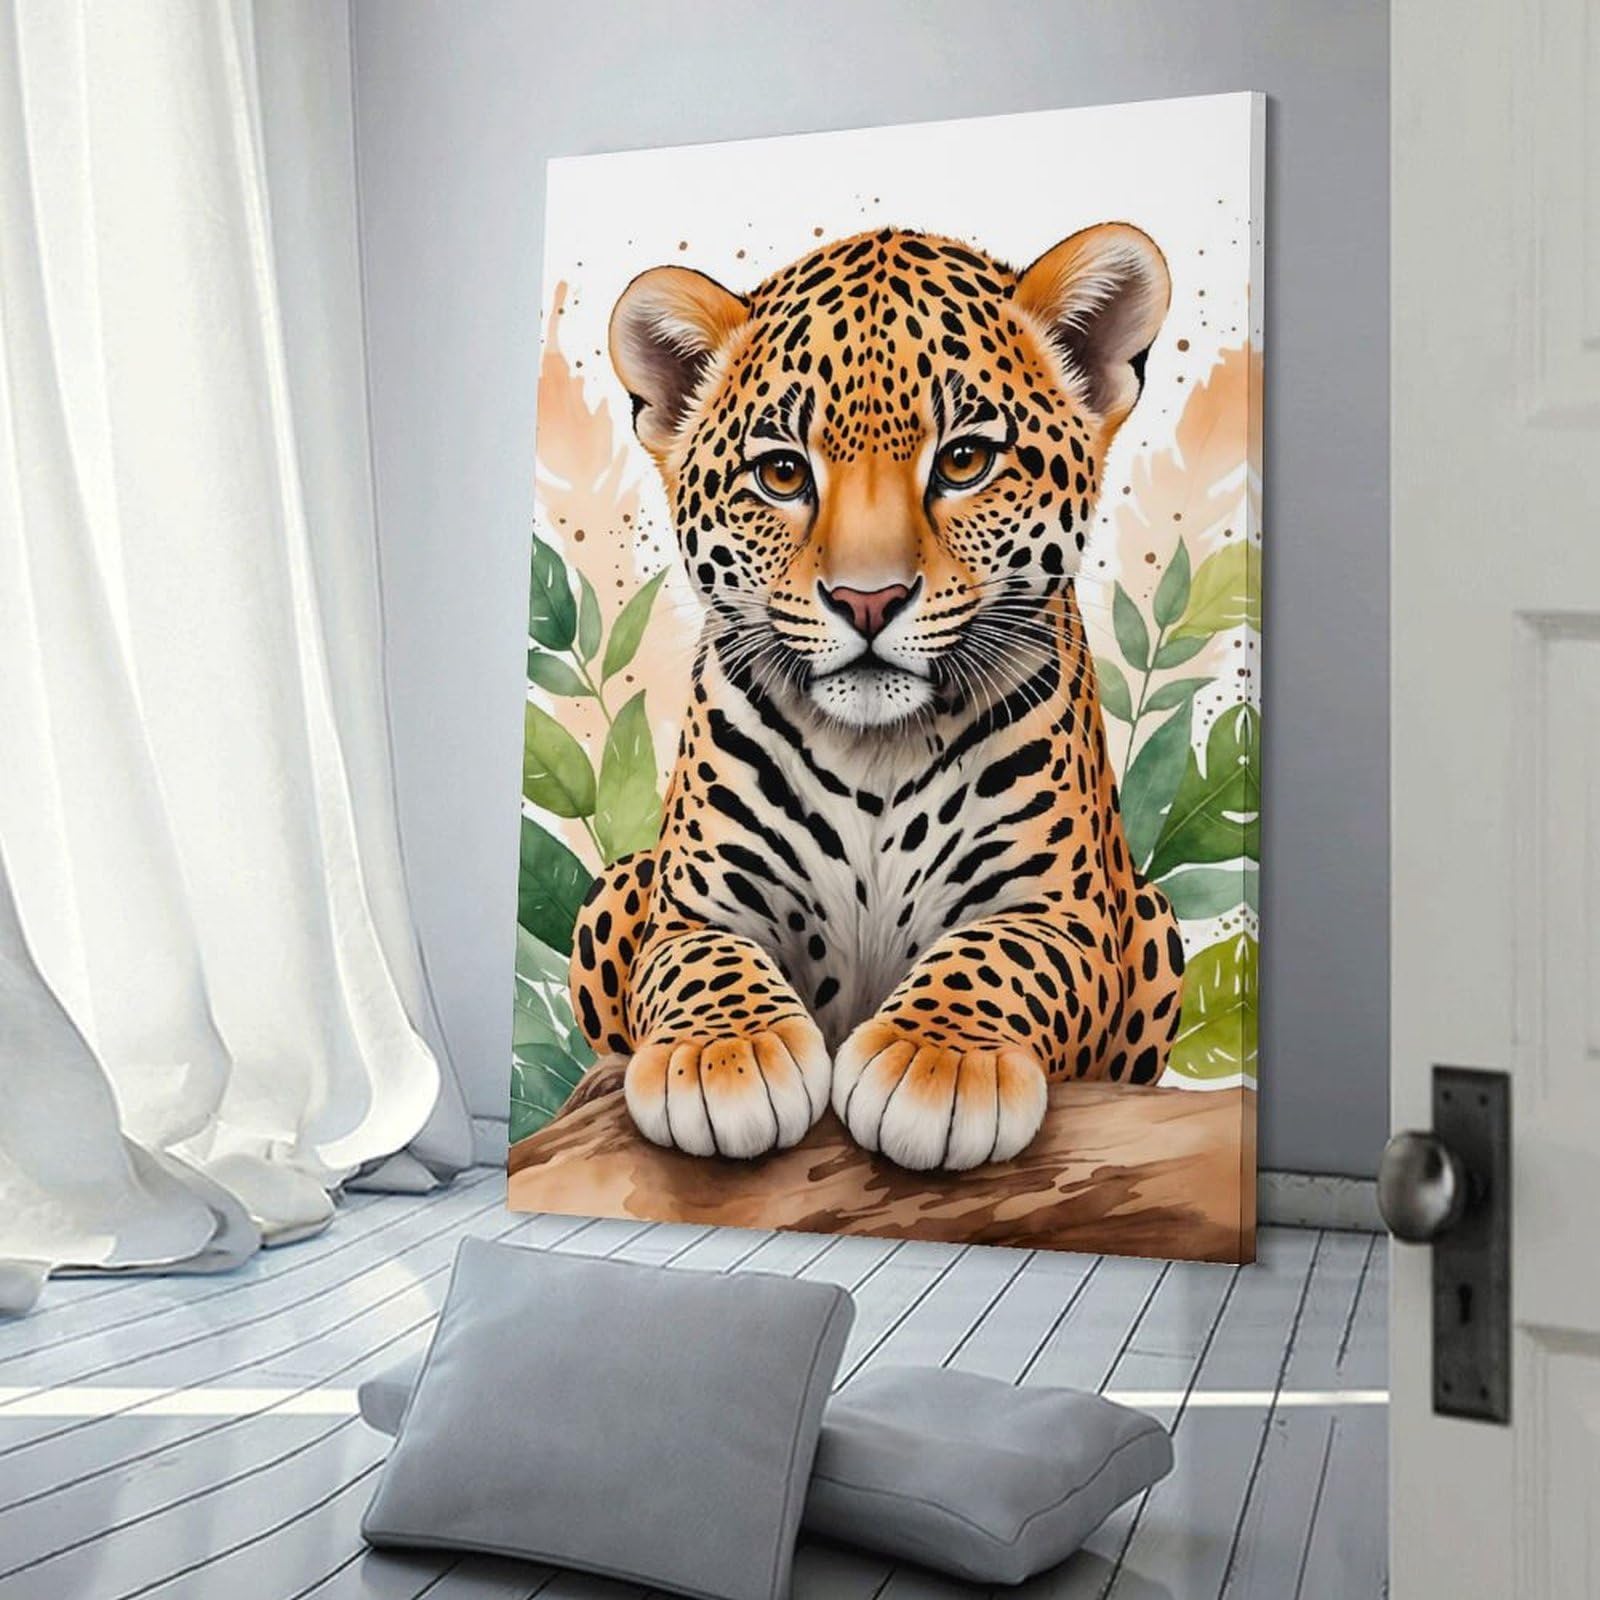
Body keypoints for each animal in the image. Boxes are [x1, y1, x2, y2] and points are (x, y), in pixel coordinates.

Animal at [565, 221, 1185, 1172]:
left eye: (964, 460)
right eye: (783, 474)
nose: (867, 600)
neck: (875, 753)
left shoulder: (1066, 915)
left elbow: (996, 956)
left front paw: (937, 1059)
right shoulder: (691, 910)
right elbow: (702, 963)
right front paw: (723, 1053)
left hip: (1150, 912)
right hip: (620, 882)